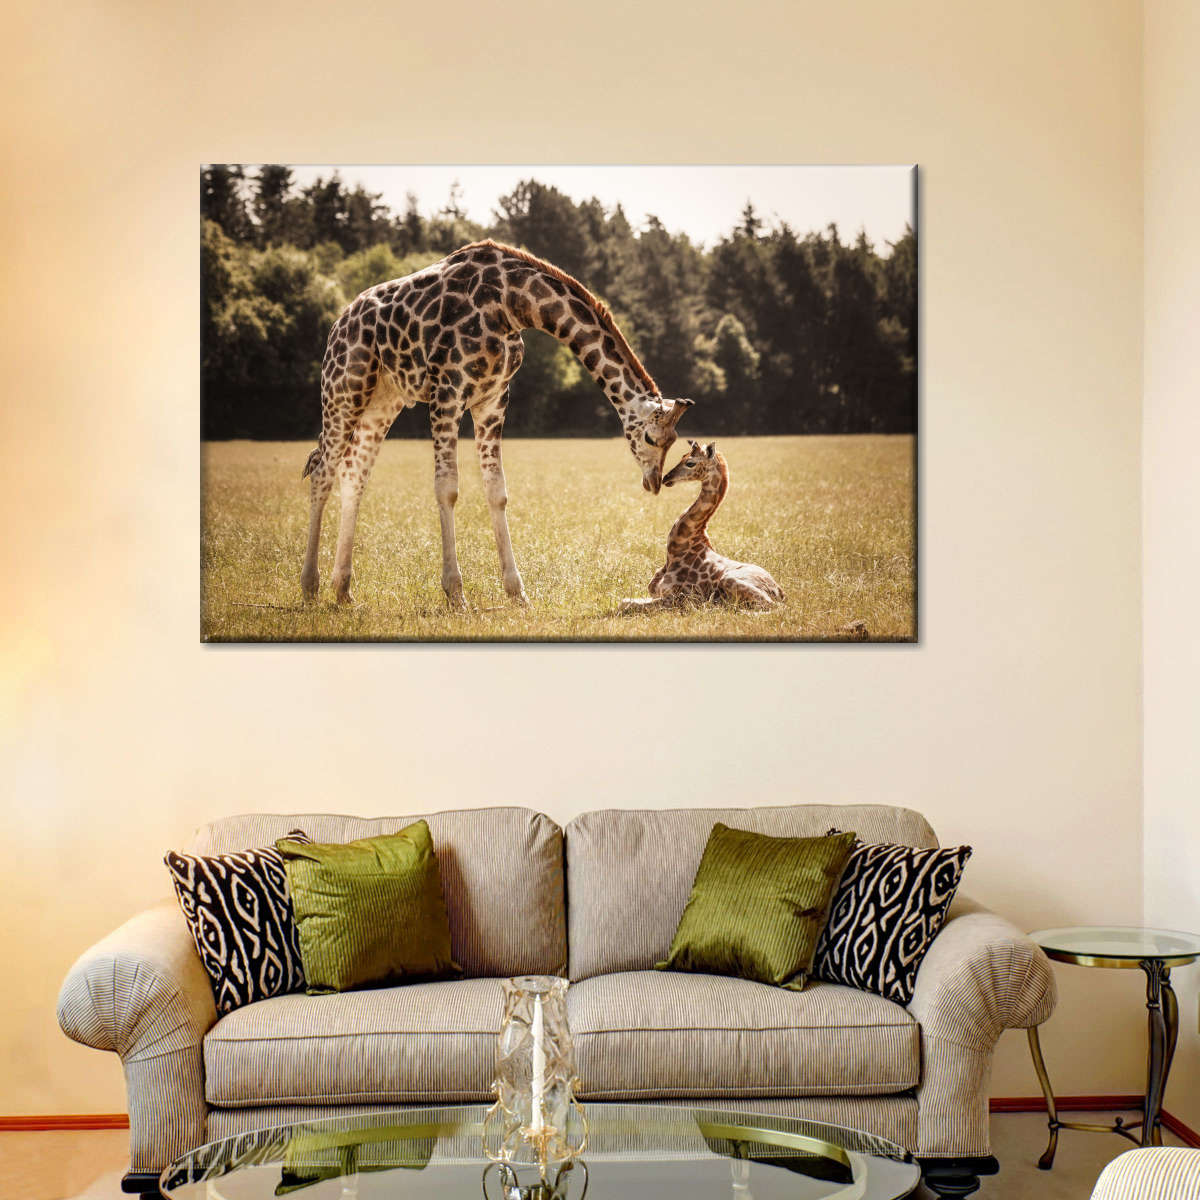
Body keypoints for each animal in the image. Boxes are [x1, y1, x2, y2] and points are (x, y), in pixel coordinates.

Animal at [299, 239, 694, 607]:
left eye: (674, 442)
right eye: (652, 438)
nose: (654, 482)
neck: (512, 303)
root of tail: (338, 324)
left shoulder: (493, 399)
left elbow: (496, 490)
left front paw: (516, 592)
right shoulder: (448, 391)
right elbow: (447, 487)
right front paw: (455, 593)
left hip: (383, 399)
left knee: (353, 473)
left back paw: (343, 590)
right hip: (344, 388)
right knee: (323, 472)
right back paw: (309, 587)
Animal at [620, 441, 785, 612]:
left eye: (690, 463)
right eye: (682, 456)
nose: (666, 478)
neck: (675, 550)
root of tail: (780, 592)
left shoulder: (680, 599)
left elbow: (626, 604)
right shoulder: (656, 593)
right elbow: (625, 601)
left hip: (731, 580)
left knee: (773, 607)